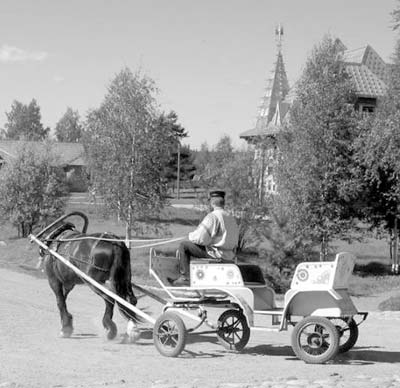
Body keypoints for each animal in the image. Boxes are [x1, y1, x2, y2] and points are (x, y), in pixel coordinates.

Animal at [34, 212, 141, 340]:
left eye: (37, 225)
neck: (56, 238)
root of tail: (115, 243)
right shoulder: (69, 283)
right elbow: (63, 300)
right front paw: (67, 322)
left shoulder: (54, 280)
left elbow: (60, 302)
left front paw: (65, 329)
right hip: (125, 278)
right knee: (131, 300)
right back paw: (132, 328)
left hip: (94, 281)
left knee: (109, 298)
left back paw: (109, 327)